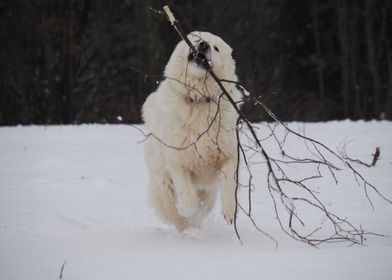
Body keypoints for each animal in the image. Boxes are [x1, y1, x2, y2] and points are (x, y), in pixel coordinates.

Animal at [142, 31, 242, 231]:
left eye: (216, 47)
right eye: (197, 39)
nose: (204, 45)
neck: (199, 98)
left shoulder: (229, 154)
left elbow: (229, 183)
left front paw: (229, 212)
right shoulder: (178, 161)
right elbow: (187, 196)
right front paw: (186, 210)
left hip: (207, 194)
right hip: (163, 183)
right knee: (176, 211)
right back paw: (186, 227)